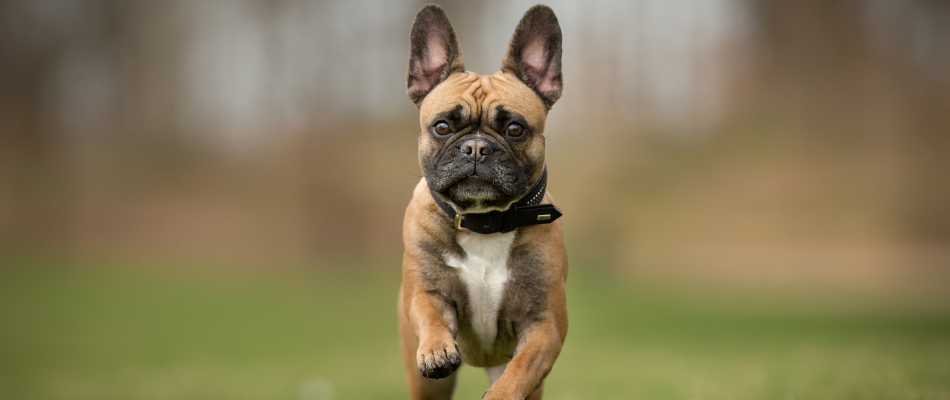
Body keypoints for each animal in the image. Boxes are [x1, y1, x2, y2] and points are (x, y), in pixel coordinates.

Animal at [398, 3, 568, 400]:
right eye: (442, 127)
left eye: (515, 129)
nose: (476, 147)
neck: (485, 222)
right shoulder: (426, 292)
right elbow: (429, 313)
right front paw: (436, 349)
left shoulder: (545, 324)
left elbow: (523, 366)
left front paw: (502, 394)